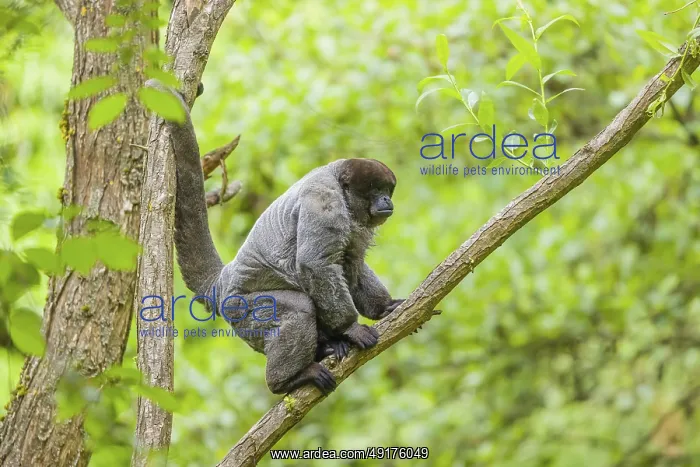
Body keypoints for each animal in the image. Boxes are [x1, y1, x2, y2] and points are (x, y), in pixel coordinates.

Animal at [146, 80, 404, 395]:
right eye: (375, 191)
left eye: (387, 191)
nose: (386, 201)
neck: (342, 192)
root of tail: (223, 281)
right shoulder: (324, 204)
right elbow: (315, 264)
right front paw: (351, 328)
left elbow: (351, 263)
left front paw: (383, 308)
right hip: (242, 309)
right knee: (299, 308)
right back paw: (287, 379)